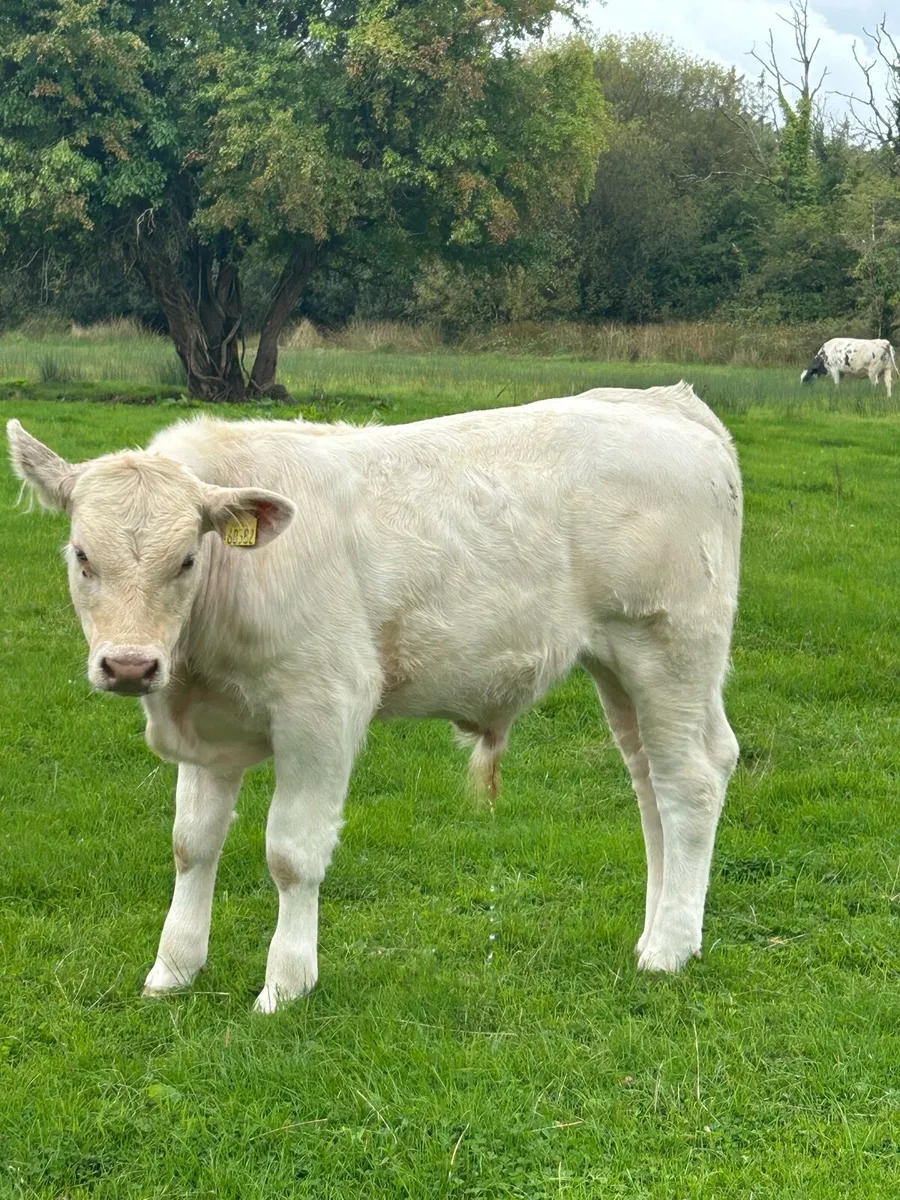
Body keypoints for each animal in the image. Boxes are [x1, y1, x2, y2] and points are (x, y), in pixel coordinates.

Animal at [7, 382, 742, 1012]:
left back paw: (669, 948)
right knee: (650, 784)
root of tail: (665, 401)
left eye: (186, 558)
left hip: (670, 647)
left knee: (691, 781)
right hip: (618, 665)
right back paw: (657, 929)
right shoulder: (208, 729)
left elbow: (291, 853)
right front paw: (173, 968)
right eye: (81, 555)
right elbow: (193, 844)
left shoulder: (322, 706)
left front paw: (285, 984)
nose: (130, 665)